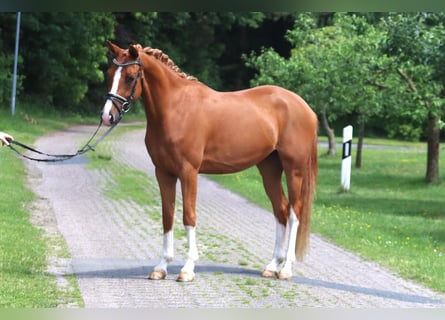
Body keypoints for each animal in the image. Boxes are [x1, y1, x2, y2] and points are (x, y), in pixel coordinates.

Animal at [101, 41, 316, 282]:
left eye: (130, 77)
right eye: (109, 73)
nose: (107, 116)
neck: (175, 108)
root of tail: (305, 107)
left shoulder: (188, 172)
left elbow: (188, 216)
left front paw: (187, 269)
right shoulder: (163, 173)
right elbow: (167, 216)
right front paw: (161, 267)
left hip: (294, 169)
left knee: (294, 213)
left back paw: (286, 268)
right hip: (269, 168)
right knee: (281, 209)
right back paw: (272, 266)